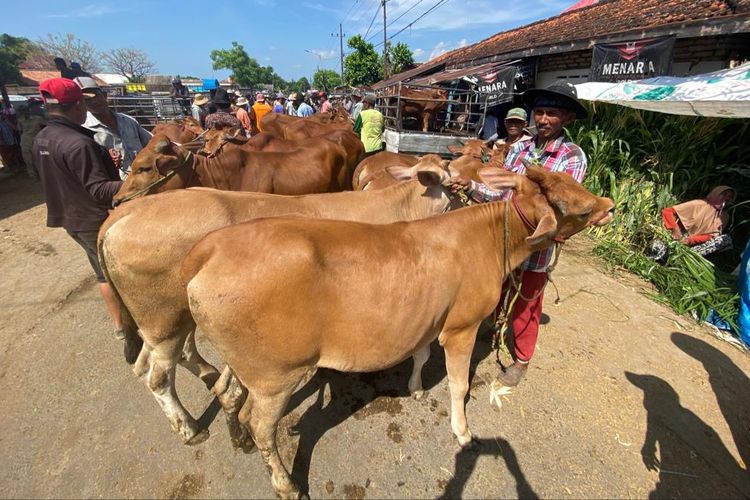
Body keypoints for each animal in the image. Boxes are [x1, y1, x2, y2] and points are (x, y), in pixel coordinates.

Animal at [98, 160, 464, 446]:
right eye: (456, 186)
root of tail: (124, 211)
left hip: (167, 320)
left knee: (154, 361)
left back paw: (207, 376)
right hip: (164, 320)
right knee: (158, 377)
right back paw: (190, 429)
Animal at [182, 167, 616, 496]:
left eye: (572, 181)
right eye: (578, 208)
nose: (610, 205)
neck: (492, 238)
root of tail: (210, 248)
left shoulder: (427, 320)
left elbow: (421, 355)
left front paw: (416, 387)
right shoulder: (461, 327)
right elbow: (459, 384)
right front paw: (463, 432)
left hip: (248, 366)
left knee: (227, 393)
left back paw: (236, 438)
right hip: (277, 375)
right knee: (261, 425)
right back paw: (285, 484)